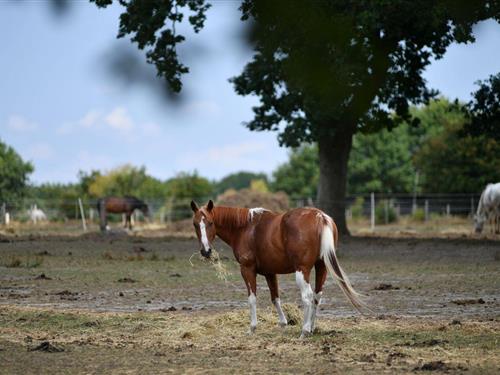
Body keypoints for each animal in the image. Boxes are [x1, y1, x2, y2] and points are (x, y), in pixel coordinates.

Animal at [189, 201, 366, 340]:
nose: (205, 251)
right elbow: (275, 298)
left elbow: (252, 298)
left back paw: (304, 331)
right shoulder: (270, 272)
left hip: (302, 271)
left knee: (308, 296)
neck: (245, 227)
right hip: (322, 267)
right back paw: (312, 328)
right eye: (195, 224)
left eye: (210, 223)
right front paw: (283, 323)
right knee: (317, 296)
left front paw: (252, 328)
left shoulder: (247, 269)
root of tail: (319, 216)